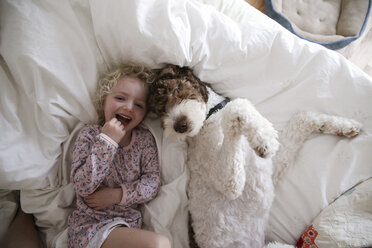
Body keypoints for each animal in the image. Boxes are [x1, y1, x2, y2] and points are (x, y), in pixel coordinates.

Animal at [147, 64, 360, 248]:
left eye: (178, 89)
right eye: (160, 111)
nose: (179, 125)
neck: (210, 119)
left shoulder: (272, 167)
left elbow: (302, 117)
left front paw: (346, 126)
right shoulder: (230, 183)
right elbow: (236, 108)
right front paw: (263, 137)